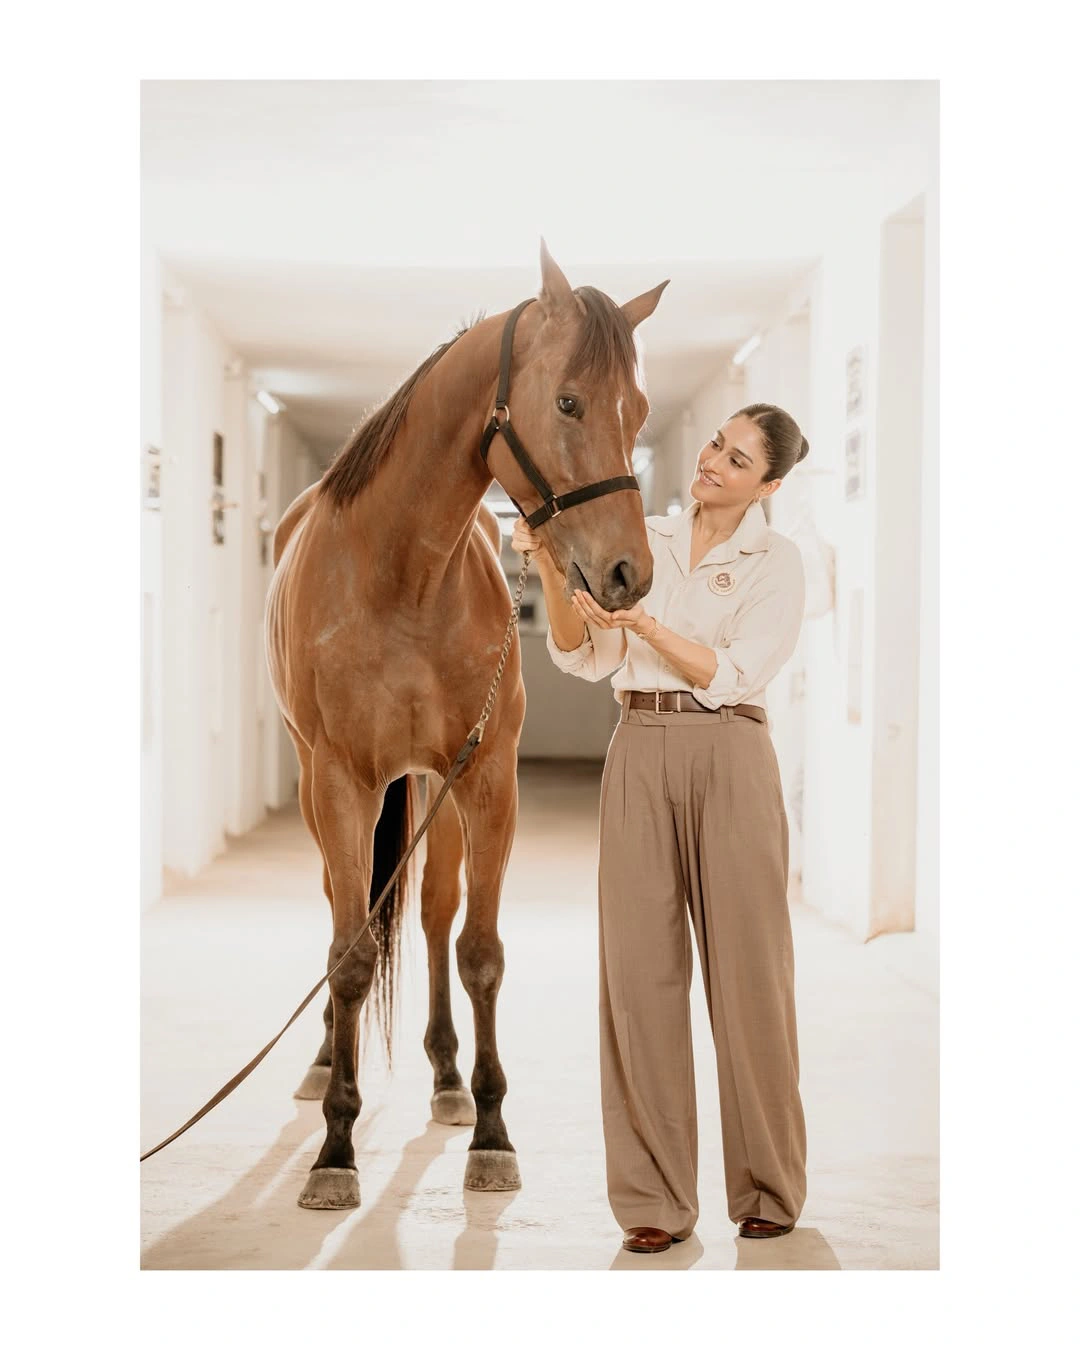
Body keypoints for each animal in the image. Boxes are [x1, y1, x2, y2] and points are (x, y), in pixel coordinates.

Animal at [264, 242, 668, 1209]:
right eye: (568, 402)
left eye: (638, 411)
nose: (629, 573)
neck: (401, 573)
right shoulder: (339, 781)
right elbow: (348, 954)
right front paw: (336, 1147)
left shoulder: (486, 778)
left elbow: (479, 948)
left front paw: (491, 1130)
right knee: (343, 909)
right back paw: (325, 1061)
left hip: (431, 788)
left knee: (432, 913)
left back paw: (447, 1079)